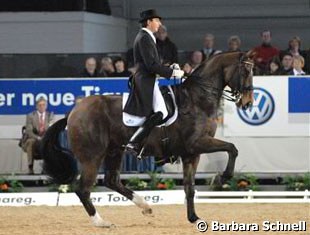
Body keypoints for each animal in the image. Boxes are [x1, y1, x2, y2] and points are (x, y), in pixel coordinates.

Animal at [40, 50, 254, 227]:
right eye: (245, 71)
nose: (248, 103)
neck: (197, 100)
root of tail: (73, 111)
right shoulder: (197, 143)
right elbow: (232, 148)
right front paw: (222, 178)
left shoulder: (191, 153)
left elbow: (189, 188)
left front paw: (194, 218)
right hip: (92, 156)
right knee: (83, 188)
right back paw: (102, 222)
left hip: (114, 151)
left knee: (111, 180)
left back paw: (146, 206)